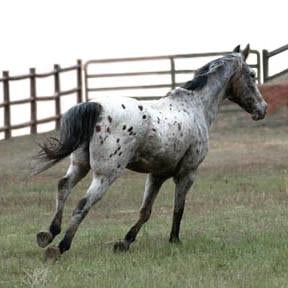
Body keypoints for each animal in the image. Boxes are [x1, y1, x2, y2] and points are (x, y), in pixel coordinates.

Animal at [33, 44, 268, 262]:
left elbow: (145, 211)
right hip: (105, 175)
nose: (263, 108)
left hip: (80, 166)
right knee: (83, 203)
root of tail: (97, 107)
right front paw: (174, 239)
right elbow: (178, 208)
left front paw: (125, 242)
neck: (195, 106)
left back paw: (48, 234)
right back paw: (60, 247)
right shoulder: (187, 174)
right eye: (252, 75)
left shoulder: (157, 175)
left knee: (63, 186)